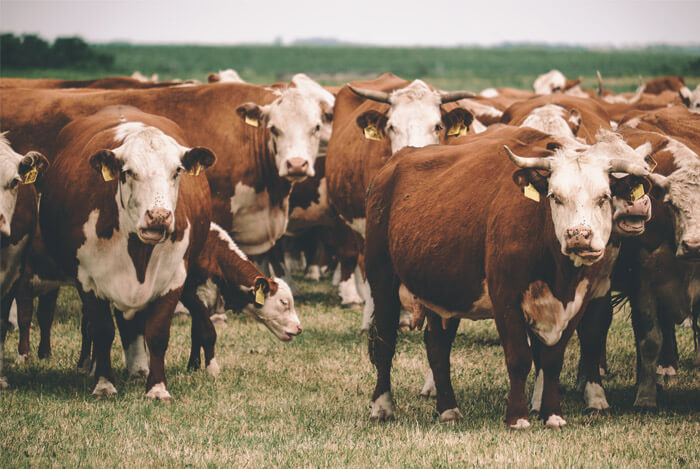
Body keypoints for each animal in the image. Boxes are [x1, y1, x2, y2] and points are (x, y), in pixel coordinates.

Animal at [37, 106, 213, 398]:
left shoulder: (174, 278)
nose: (159, 216)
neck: (138, 251)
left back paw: (138, 368)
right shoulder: (87, 280)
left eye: (177, 170)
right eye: (129, 172)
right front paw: (104, 384)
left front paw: (157, 387)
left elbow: (157, 333)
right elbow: (102, 330)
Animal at [364, 125, 648, 428]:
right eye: (555, 196)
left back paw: (448, 408)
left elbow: (553, 360)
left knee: (437, 347)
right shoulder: (505, 298)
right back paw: (382, 406)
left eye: (604, 197)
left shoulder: (579, 300)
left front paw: (553, 415)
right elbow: (519, 357)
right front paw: (518, 417)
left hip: (441, 292)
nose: (578, 236)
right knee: (384, 342)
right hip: (382, 278)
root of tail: (392, 164)